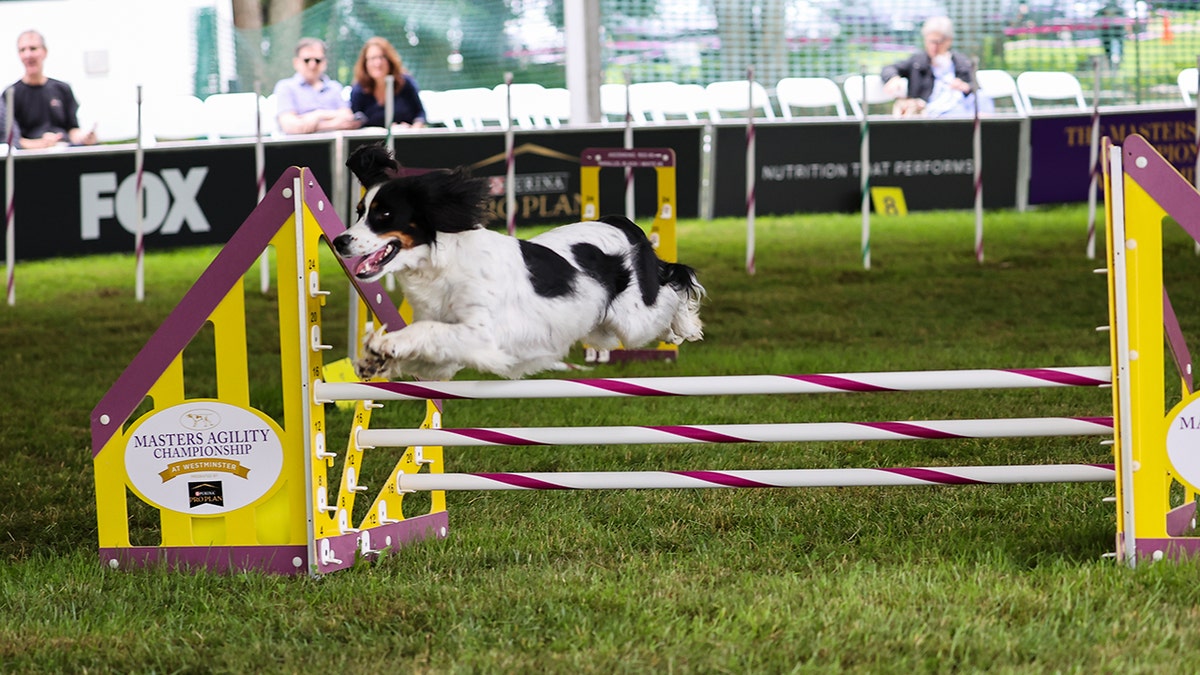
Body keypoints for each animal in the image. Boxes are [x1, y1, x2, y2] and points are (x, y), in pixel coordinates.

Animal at [331, 145, 700, 381]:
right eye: (359, 212)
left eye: (384, 215)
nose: (339, 241)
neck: (440, 267)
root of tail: (621, 223)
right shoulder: (447, 357)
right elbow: (423, 348)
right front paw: (373, 362)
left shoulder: (482, 334)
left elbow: (425, 330)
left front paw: (382, 345)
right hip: (602, 329)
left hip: (634, 321)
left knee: (673, 288)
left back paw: (686, 327)